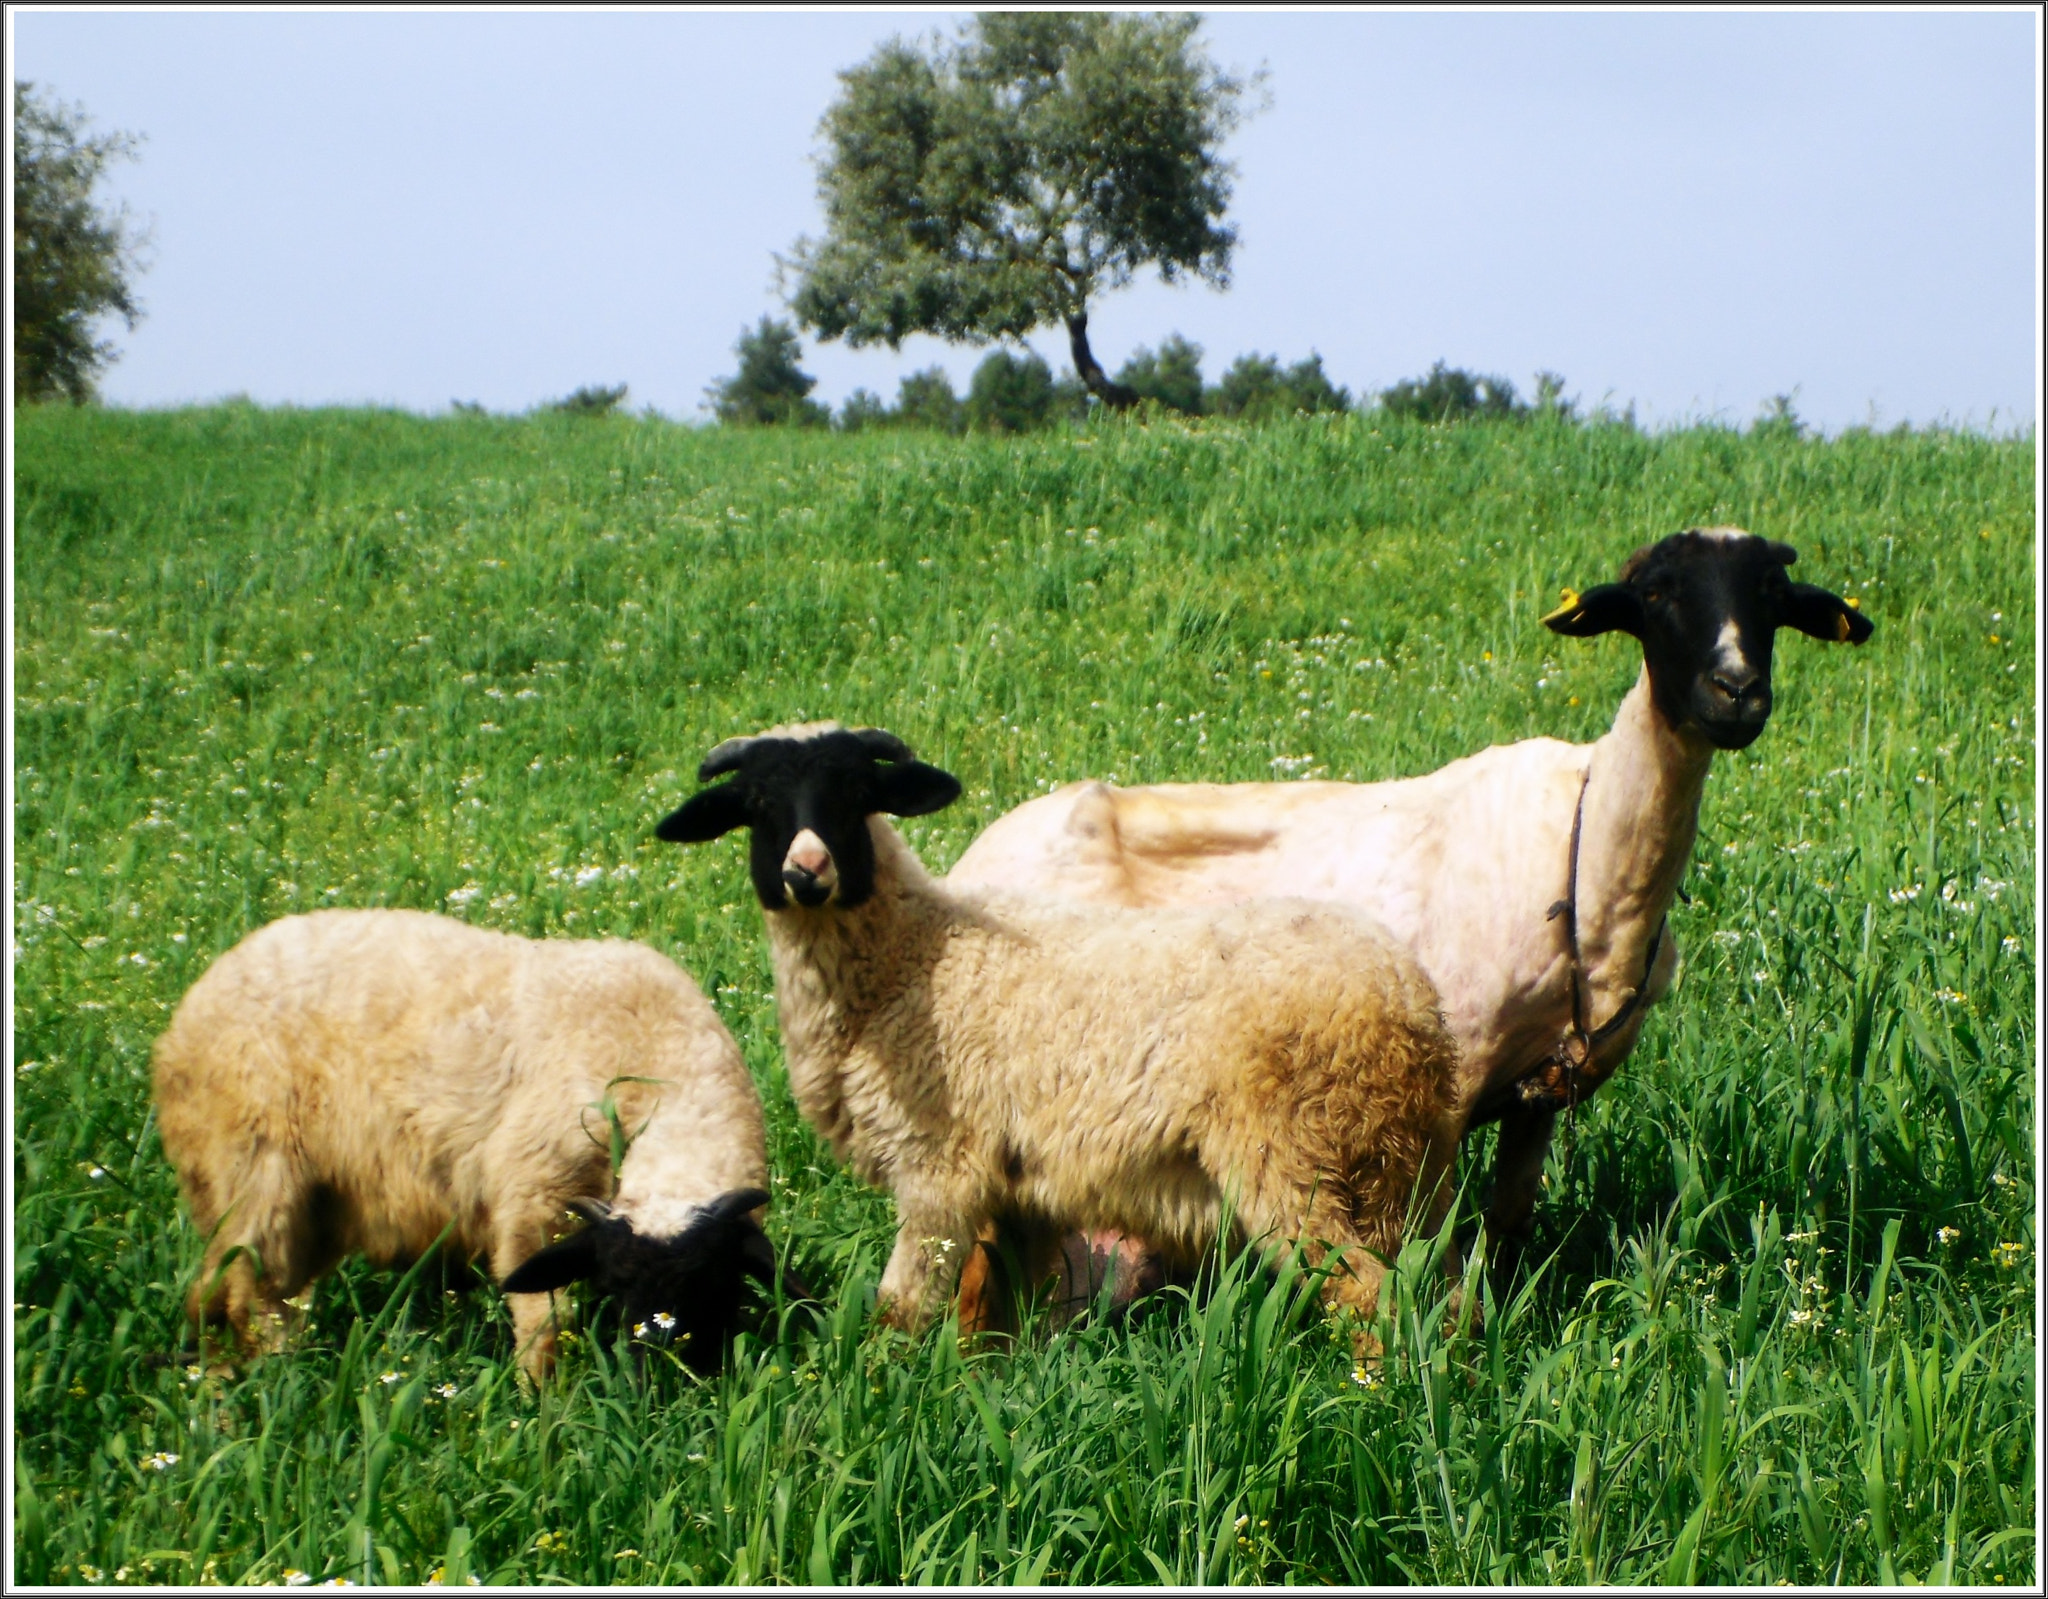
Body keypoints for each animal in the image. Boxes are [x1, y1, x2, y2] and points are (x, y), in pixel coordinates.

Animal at [152, 907, 790, 1381]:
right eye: (614, 1287)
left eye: (709, 1282)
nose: (657, 1380)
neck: (659, 1057)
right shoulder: (535, 1196)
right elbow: (545, 1320)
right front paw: (544, 1405)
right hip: (255, 1174)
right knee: (255, 1301)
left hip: (310, 1203)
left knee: (236, 1295)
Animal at [652, 722, 1463, 1344]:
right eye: (757, 804)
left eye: (856, 793)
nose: (806, 872)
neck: (912, 957)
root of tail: (1409, 1000)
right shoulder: (1019, 1192)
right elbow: (1003, 1319)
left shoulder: (939, 1167)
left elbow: (901, 1314)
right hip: (1398, 1168)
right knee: (1446, 1289)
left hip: (1295, 1153)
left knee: (1365, 1294)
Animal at [947, 528, 1874, 1278]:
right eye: (1655, 595)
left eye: (1772, 594)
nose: (1736, 692)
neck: (1591, 862)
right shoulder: (1449, 1079)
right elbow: (1429, 1239)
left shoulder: (1539, 1093)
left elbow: (1507, 1224)